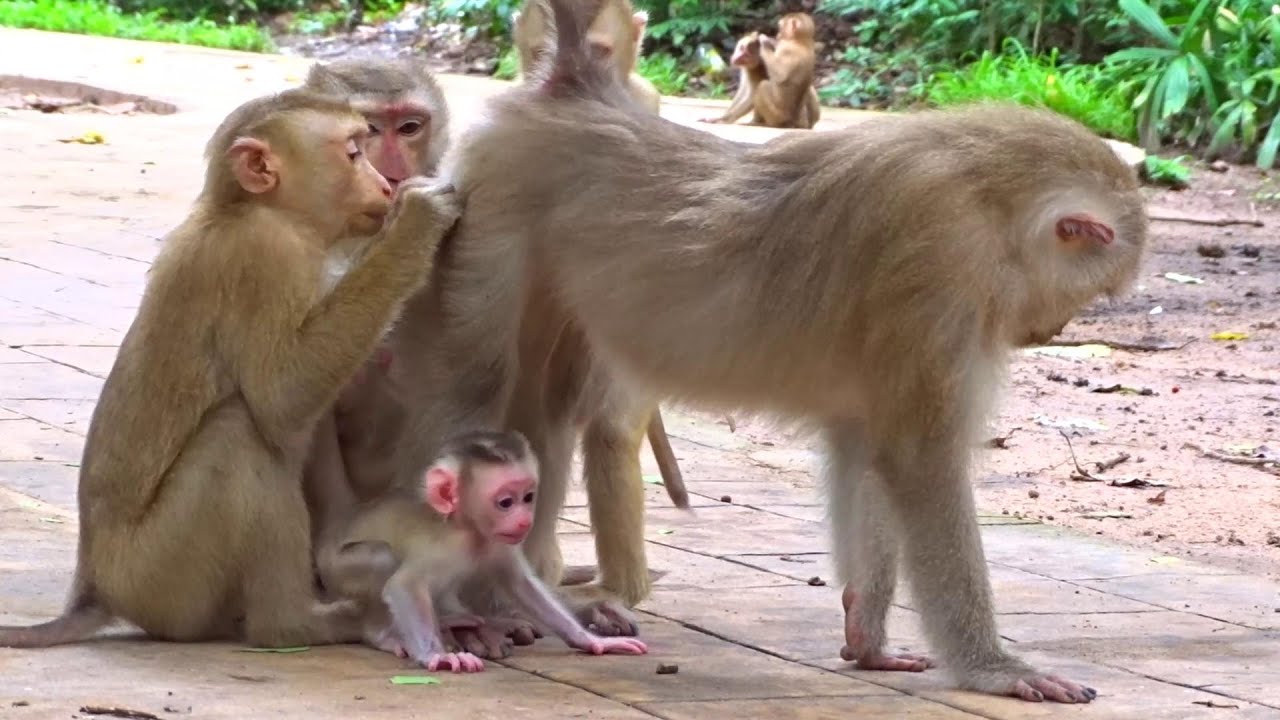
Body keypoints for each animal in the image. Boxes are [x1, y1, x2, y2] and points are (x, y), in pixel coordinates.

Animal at [0, 89, 460, 650]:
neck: (246, 208)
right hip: (162, 575)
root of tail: (96, 588)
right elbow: (281, 398)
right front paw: (417, 221)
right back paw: (292, 624)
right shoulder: (266, 256)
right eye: (355, 152)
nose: (384, 183)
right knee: (236, 434)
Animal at [317, 430, 649, 671]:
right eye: (506, 502)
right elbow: (403, 585)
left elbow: (522, 586)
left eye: (528, 497)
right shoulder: (443, 546)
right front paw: (436, 656)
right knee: (381, 558)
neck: (470, 530)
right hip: (335, 569)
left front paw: (592, 640)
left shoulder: (500, 542)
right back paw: (386, 635)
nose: (524, 520)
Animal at [386, 0, 1149, 702]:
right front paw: (993, 668)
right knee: (480, 378)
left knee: (549, 406)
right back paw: (471, 608)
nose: (1048, 331)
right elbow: (918, 461)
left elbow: (864, 447)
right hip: (496, 207)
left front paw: (867, 637)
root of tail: (577, 88)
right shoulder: (939, 269)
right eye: (1094, 291)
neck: (988, 201)